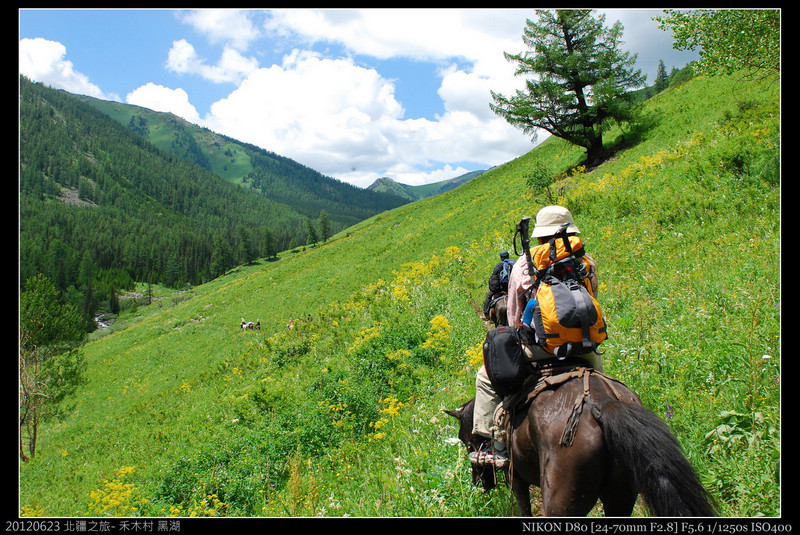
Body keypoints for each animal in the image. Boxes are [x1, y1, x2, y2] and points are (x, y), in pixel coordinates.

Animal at [445, 364, 717, 517]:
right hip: (620, 496)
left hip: (563, 502)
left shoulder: (516, 479)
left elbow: (524, 510)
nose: (479, 483)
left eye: (464, 440)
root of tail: (602, 403)